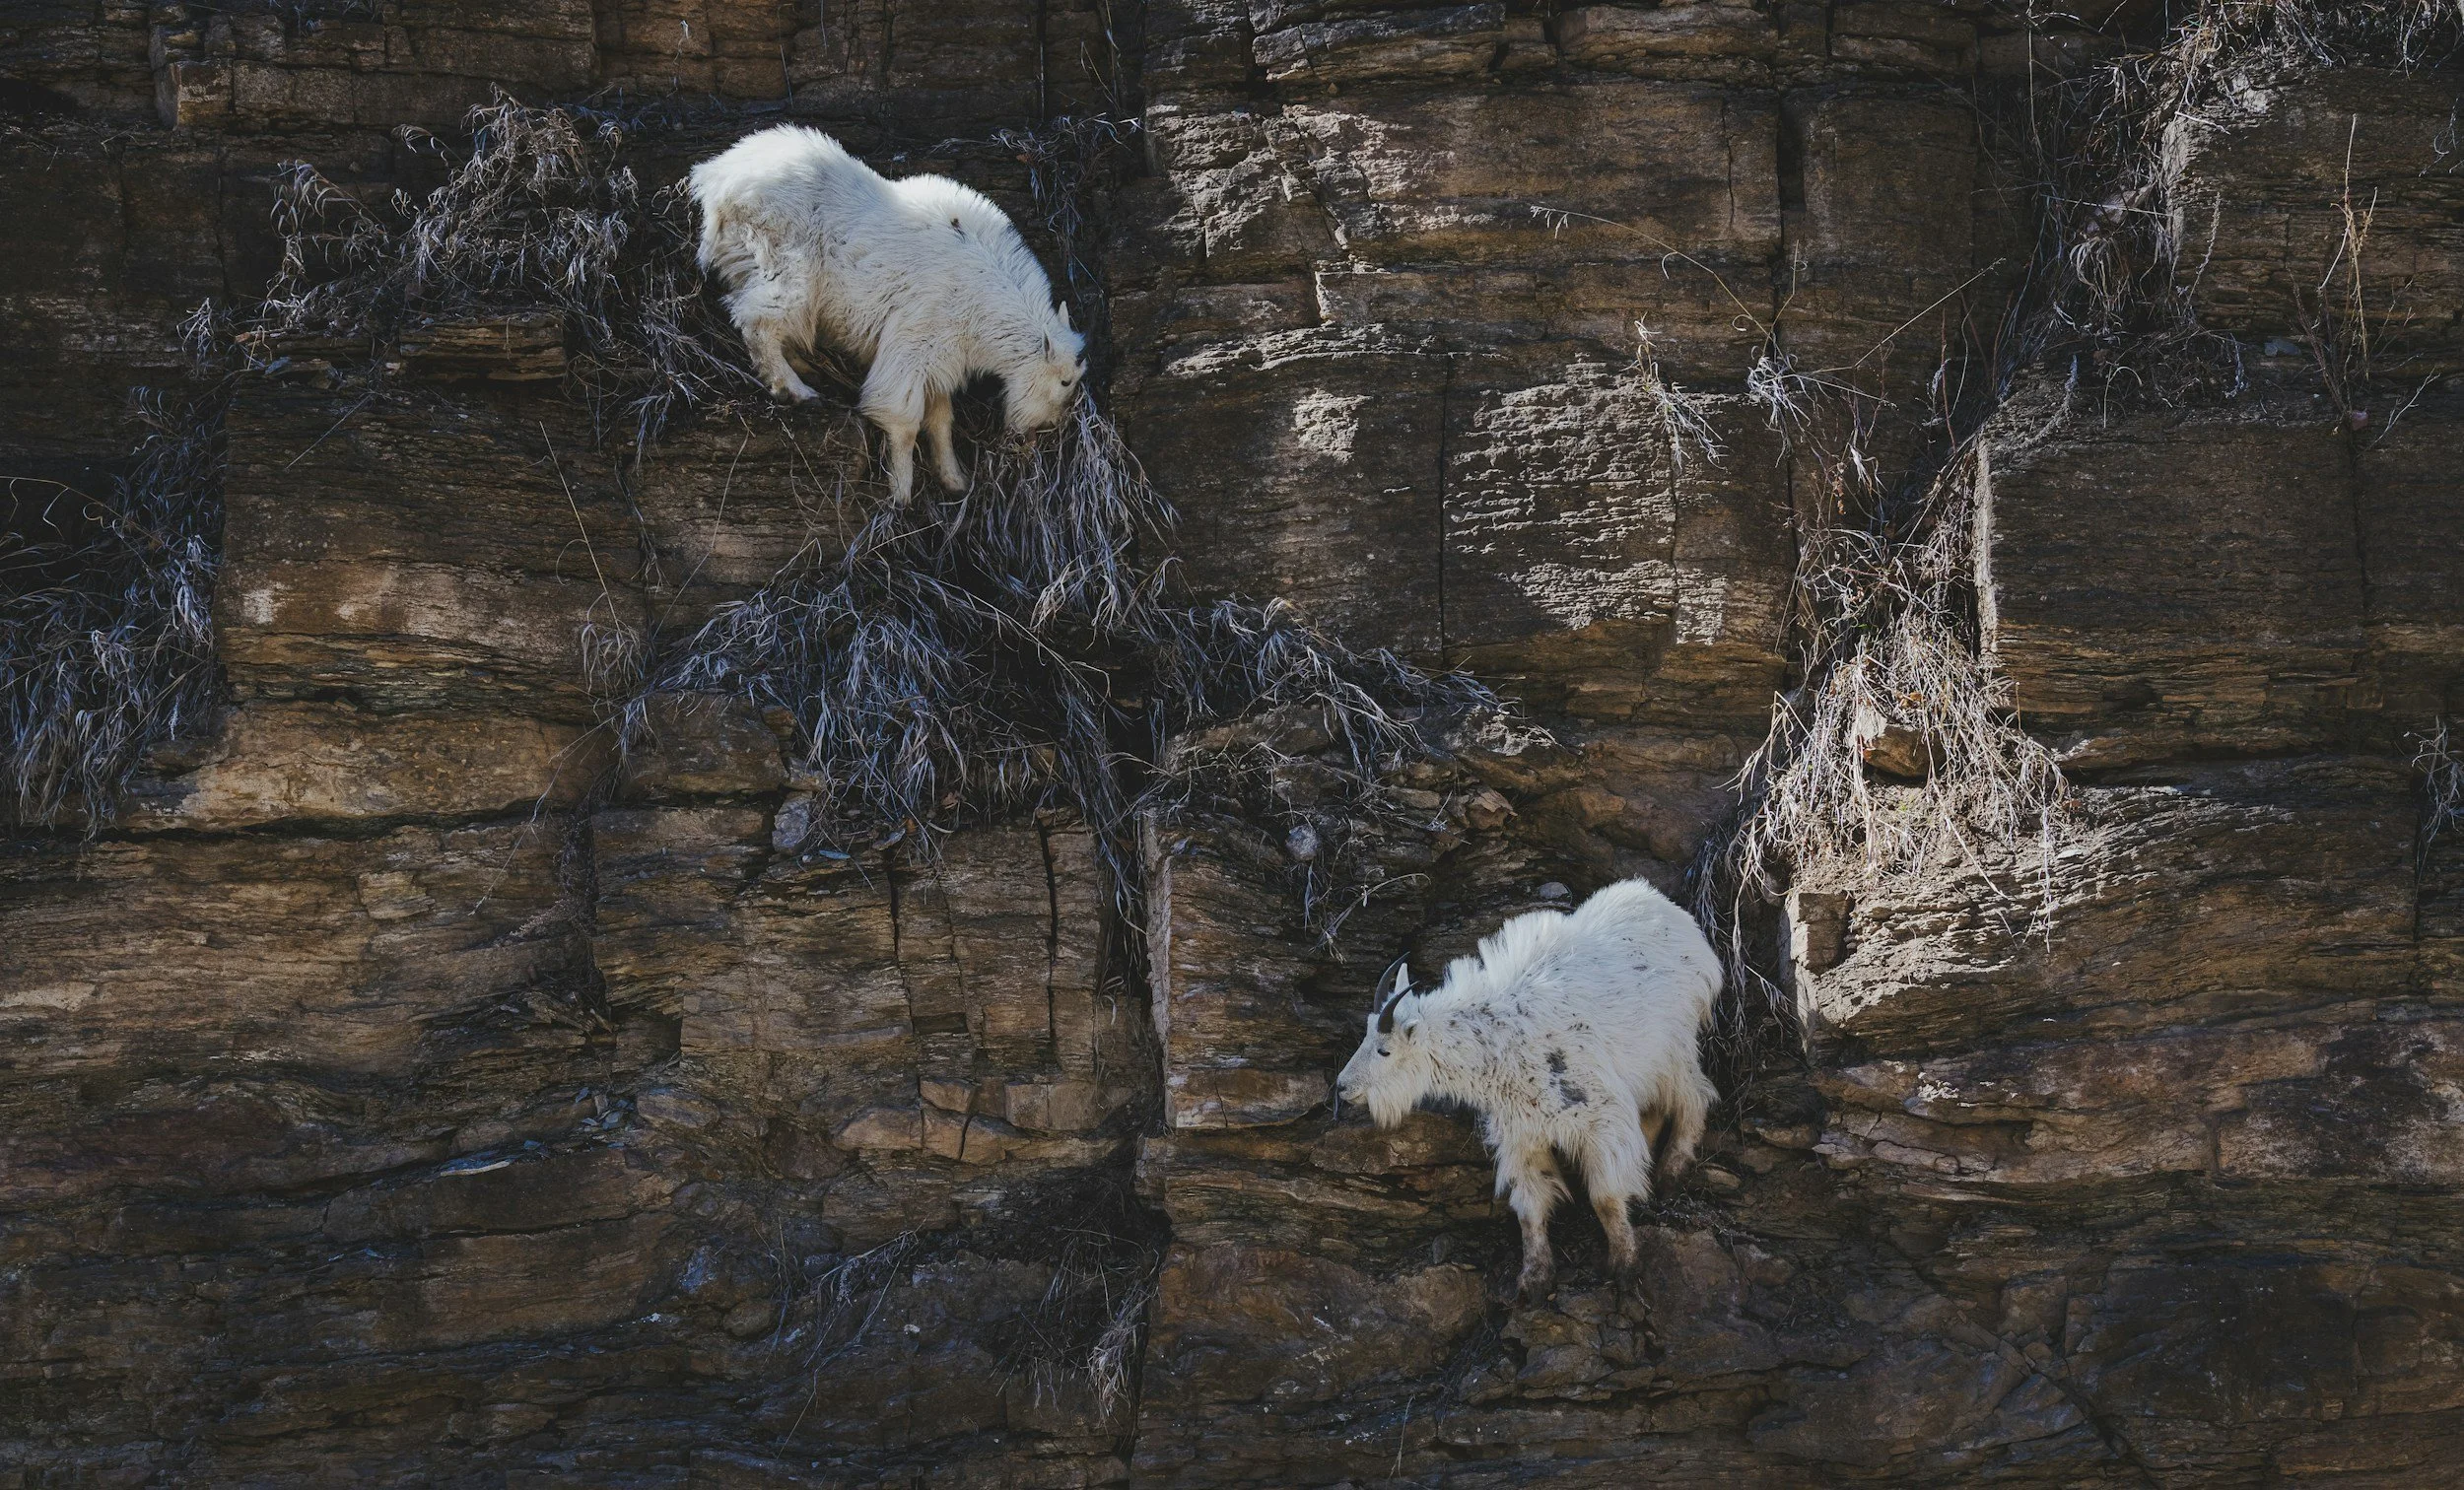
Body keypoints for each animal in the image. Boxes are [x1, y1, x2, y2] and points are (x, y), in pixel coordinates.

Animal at [686, 125, 1086, 503]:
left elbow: (941, 421)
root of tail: (715, 177)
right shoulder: (916, 340)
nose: (1050, 427)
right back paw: (795, 389)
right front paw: (901, 491)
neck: (986, 296)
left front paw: (954, 479)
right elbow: (903, 417)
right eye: (1065, 381)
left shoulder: (943, 359)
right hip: (783, 261)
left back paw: (802, 366)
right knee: (760, 319)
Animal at [1335, 877, 1721, 1302]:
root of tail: (1679, 920)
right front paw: (1534, 1281)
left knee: (1694, 1096)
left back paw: (1670, 1171)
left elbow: (1604, 1197)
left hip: (1675, 1050)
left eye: (1384, 1050)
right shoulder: (1523, 1136)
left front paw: (1624, 1266)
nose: (1342, 1087)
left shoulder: (1598, 1117)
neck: (1499, 1043)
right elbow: (1530, 1209)